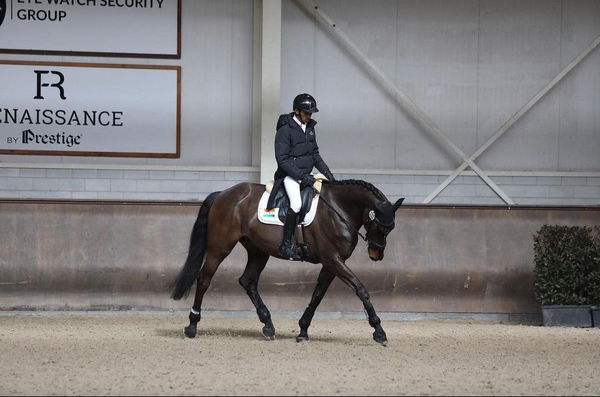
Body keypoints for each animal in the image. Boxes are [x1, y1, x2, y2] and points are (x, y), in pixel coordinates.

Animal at [170, 179, 404, 344]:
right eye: (380, 226)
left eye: (392, 227)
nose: (376, 255)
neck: (338, 209)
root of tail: (223, 194)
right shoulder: (333, 259)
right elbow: (360, 288)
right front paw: (379, 331)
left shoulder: (331, 263)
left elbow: (318, 295)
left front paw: (302, 330)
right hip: (220, 246)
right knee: (204, 279)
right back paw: (192, 326)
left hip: (258, 251)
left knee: (248, 281)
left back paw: (268, 326)